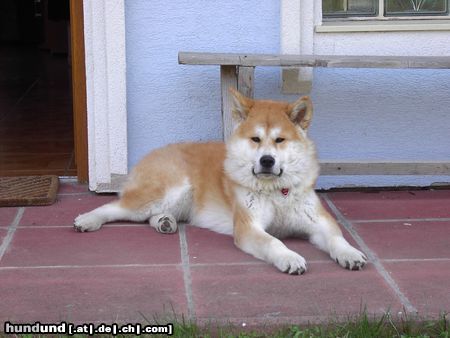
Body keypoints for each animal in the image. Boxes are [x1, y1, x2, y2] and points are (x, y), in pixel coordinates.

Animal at [74, 88, 368, 274]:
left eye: (280, 140)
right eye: (256, 139)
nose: (267, 161)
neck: (276, 192)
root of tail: (150, 154)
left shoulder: (319, 221)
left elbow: (337, 238)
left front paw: (350, 254)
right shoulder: (249, 227)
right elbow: (274, 242)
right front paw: (289, 257)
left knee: (152, 215)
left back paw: (164, 222)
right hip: (167, 190)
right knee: (115, 208)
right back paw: (88, 220)